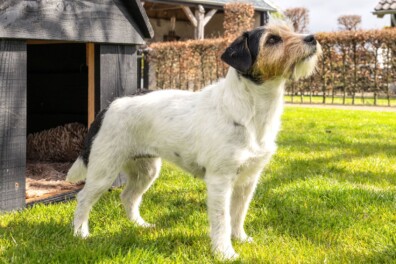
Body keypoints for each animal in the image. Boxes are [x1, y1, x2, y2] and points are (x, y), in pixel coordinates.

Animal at [67, 18, 322, 260]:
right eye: (272, 40)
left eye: (289, 30)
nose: (313, 38)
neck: (252, 110)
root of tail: (109, 106)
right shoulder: (220, 181)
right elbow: (222, 220)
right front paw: (225, 253)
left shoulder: (248, 180)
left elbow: (238, 214)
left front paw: (240, 238)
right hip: (104, 171)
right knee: (83, 198)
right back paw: (80, 233)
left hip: (146, 170)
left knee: (128, 196)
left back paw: (139, 225)